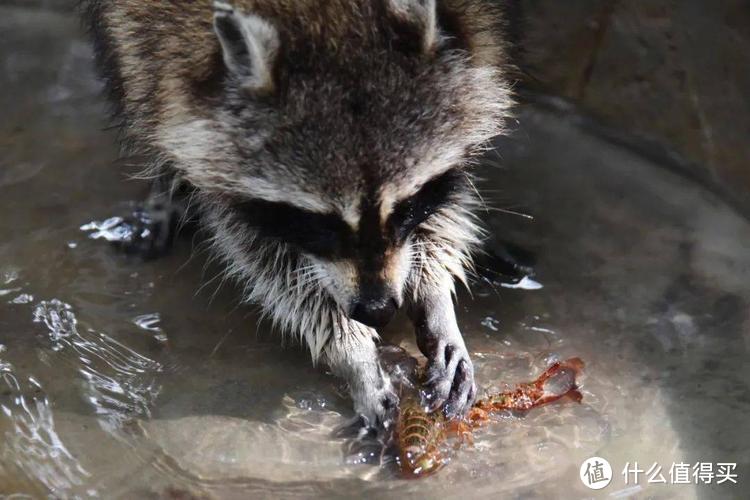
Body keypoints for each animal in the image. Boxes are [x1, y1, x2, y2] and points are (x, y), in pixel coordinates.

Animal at [82, 0, 516, 428]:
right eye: (323, 224)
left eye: (406, 207)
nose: (376, 311)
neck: (330, 19)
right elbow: (261, 253)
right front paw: (350, 350)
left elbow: (446, 207)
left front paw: (434, 295)